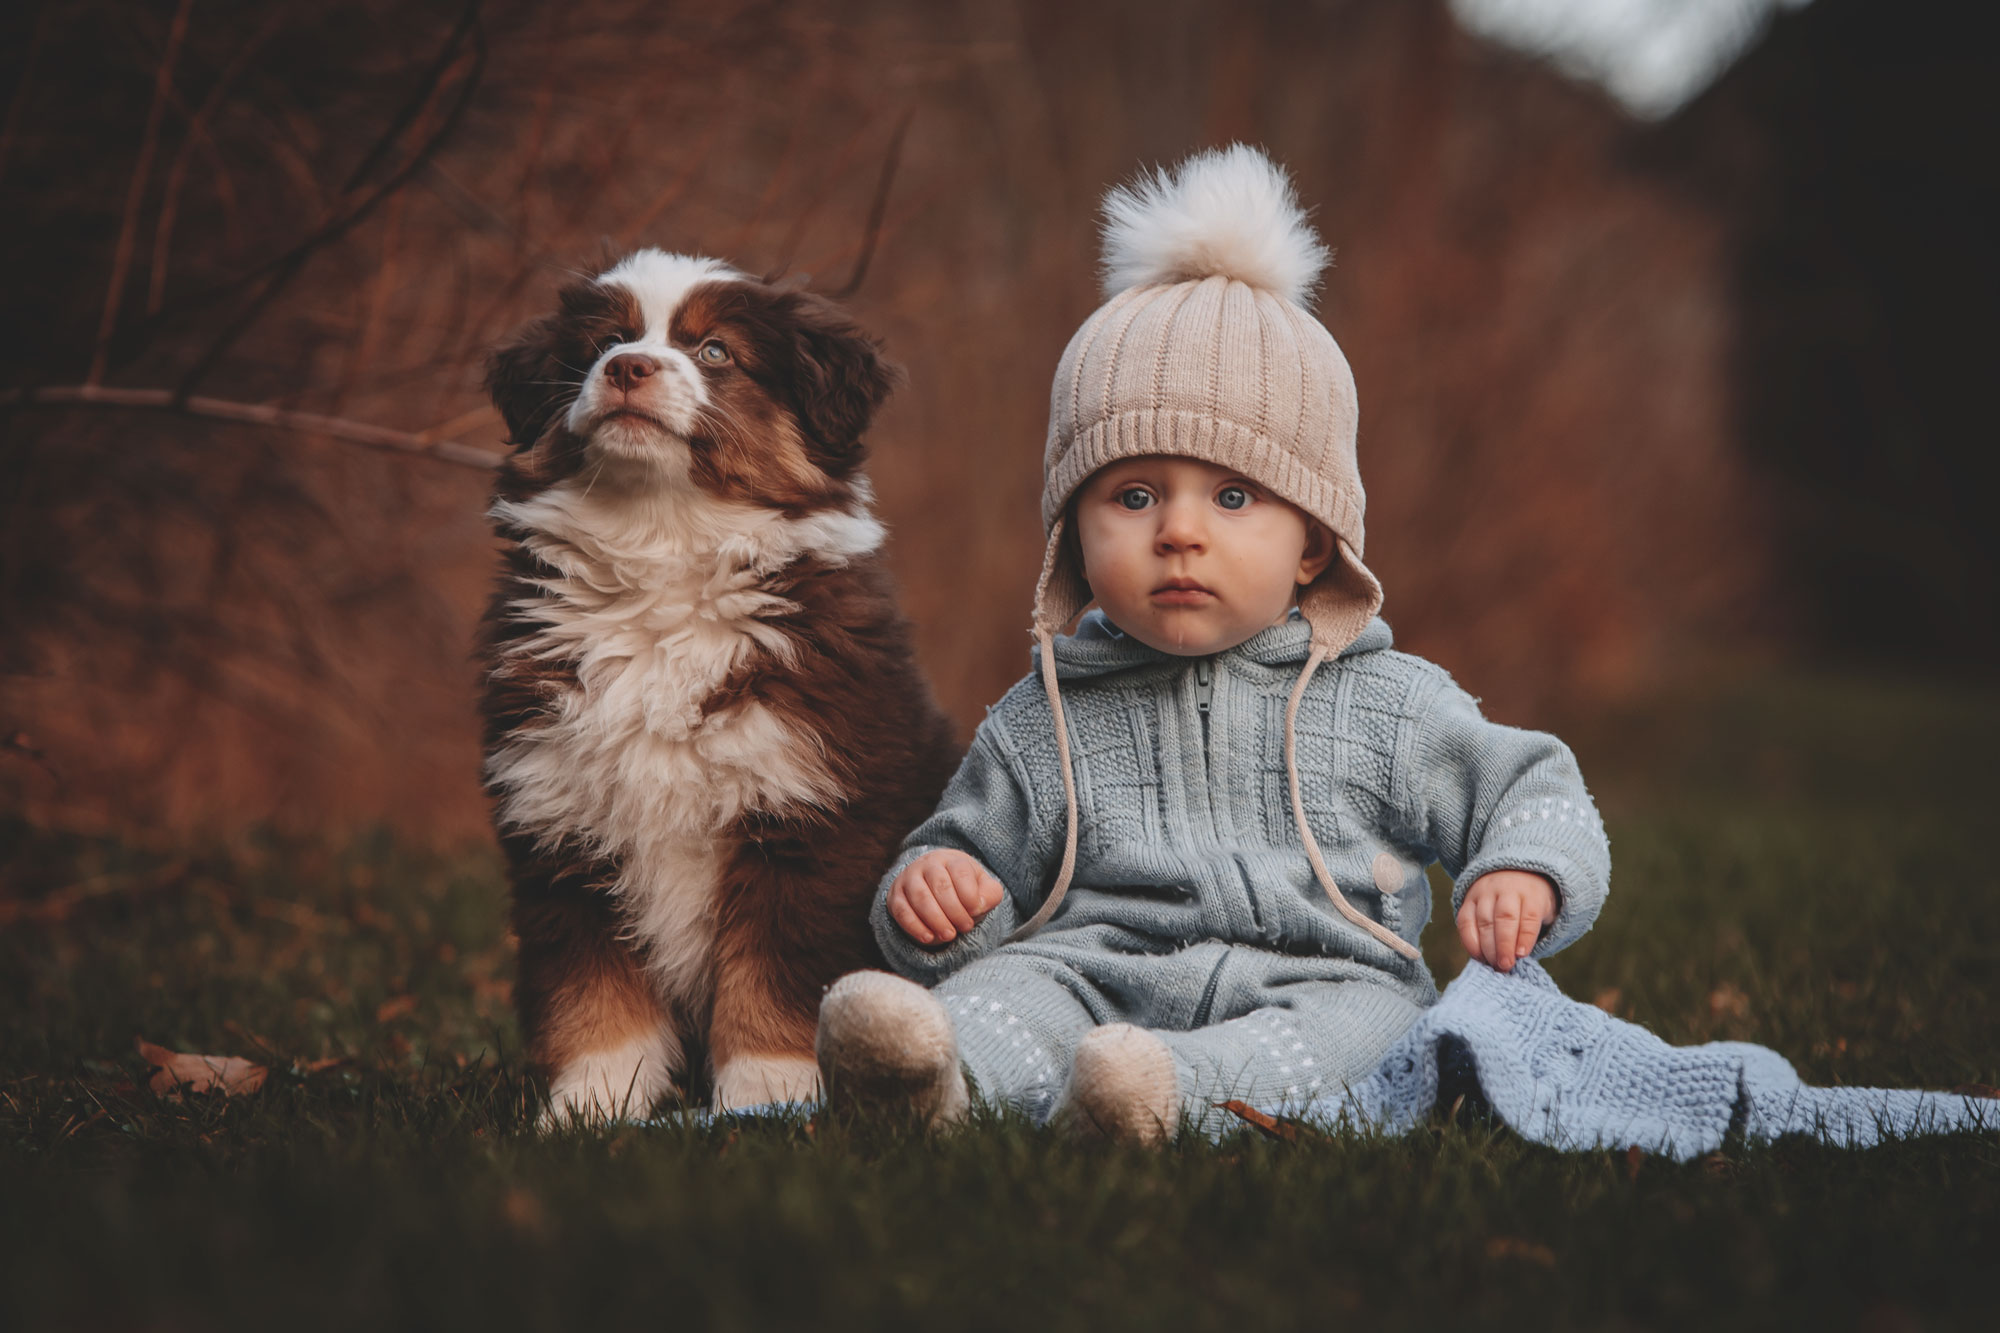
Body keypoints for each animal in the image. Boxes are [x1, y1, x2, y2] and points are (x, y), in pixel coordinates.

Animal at [480, 246, 956, 1120]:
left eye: (714, 352)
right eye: (606, 341)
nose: (626, 367)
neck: (661, 556)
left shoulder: (807, 816)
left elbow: (776, 974)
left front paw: (767, 1098)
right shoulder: (562, 823)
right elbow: (594, 991)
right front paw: (588, 1108)